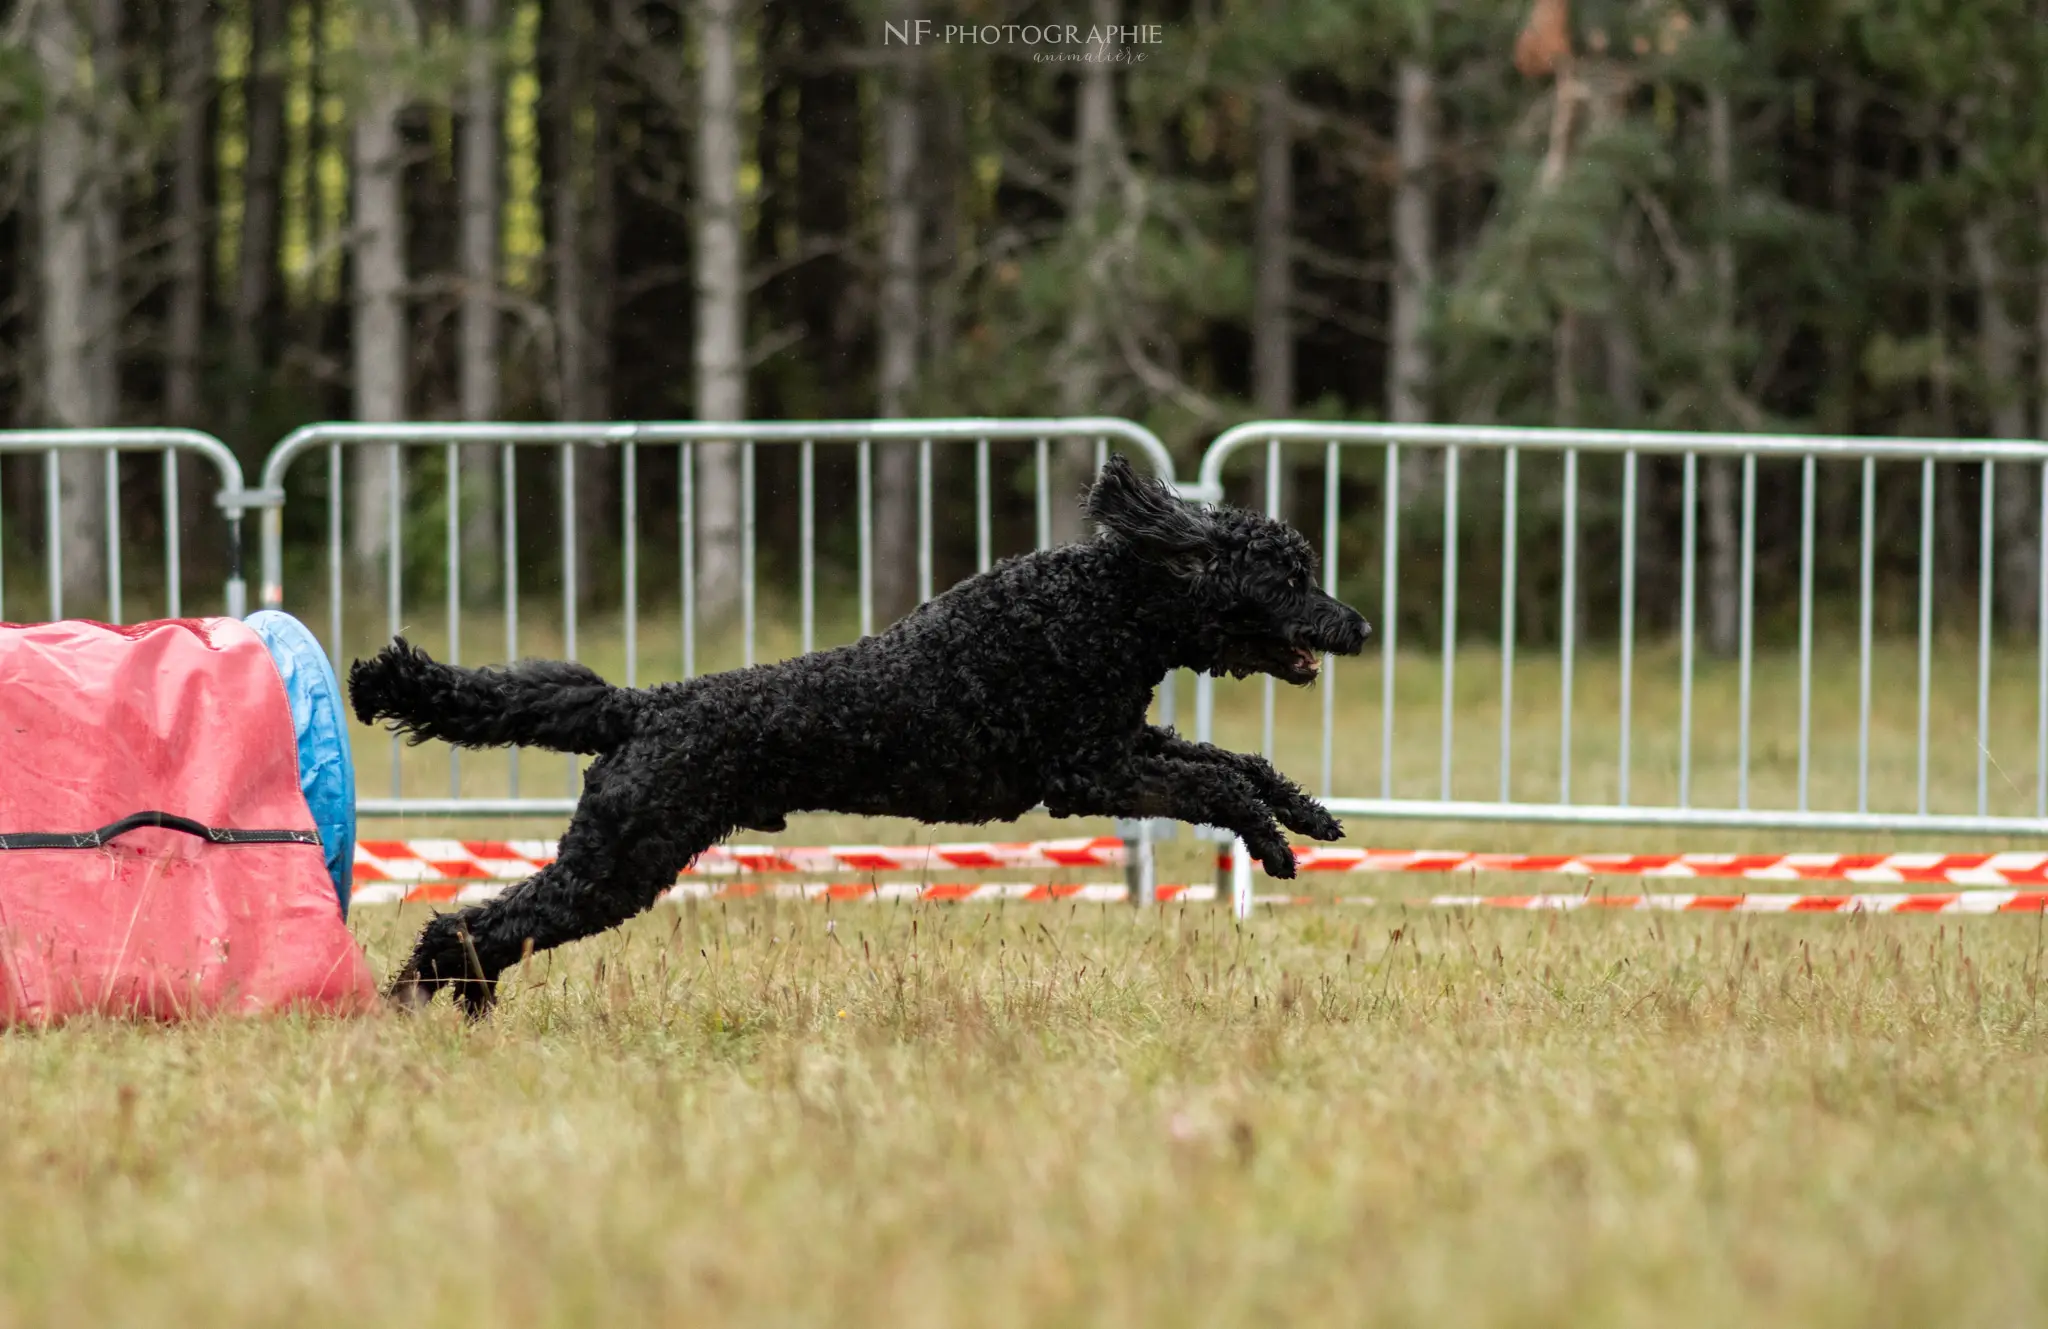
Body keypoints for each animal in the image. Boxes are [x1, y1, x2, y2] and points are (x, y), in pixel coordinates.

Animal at [352, 450, 1376, 1011]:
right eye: (1290, 577)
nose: (1360, 625)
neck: (1107, 604)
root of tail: (643, 704)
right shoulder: (1086, 771)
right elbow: (1217, 783)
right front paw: (1272, 846)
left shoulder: (1127, 747)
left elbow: (1236, 760)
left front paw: (1309, 818)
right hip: (620, 858)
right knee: (470, 919)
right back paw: (424, 1000)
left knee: (486, 922)